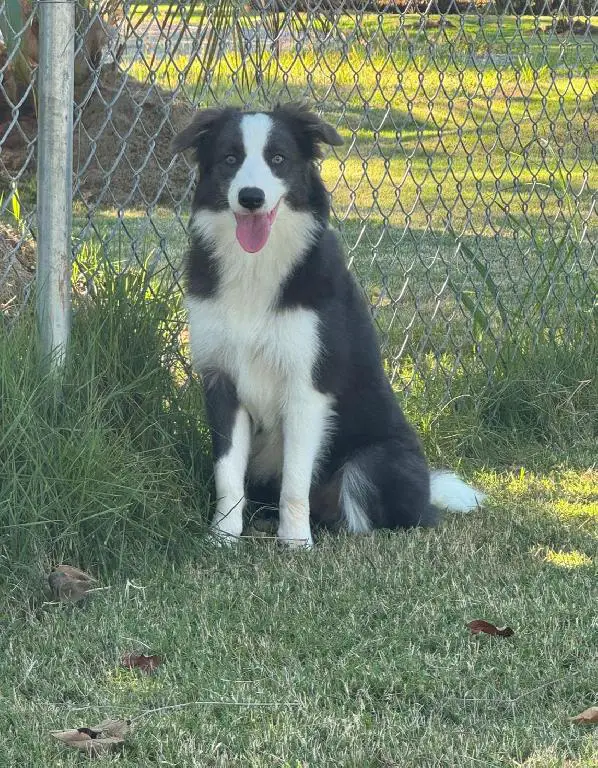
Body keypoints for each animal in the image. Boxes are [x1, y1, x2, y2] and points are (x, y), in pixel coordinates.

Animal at [173, 103, 488, 544]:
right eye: (230, 159)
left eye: (278, 159)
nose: (251, 198)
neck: (256, 267)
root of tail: (427, 488)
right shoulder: (221, 382)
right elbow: (227, 475)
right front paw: (223, 537)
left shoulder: (307, 387)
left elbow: (295, 481)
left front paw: (295, 542)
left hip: (374, 462)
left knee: (361, 513)